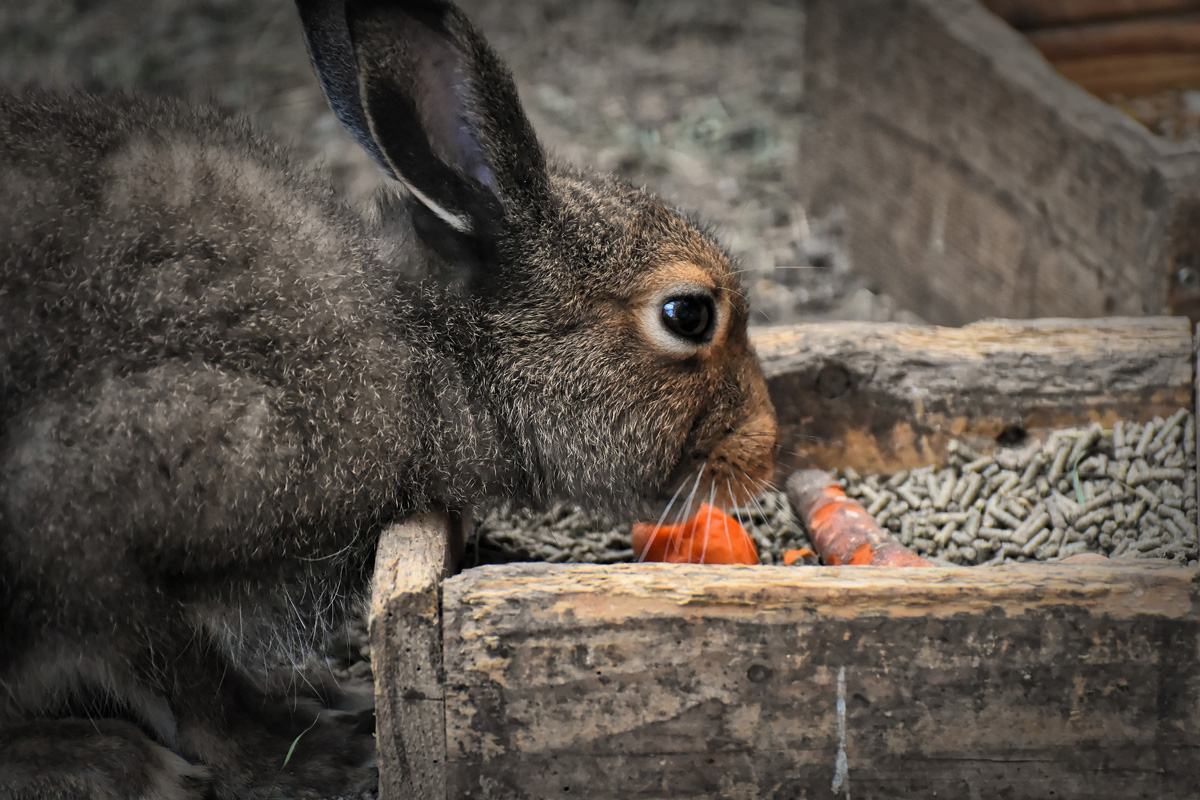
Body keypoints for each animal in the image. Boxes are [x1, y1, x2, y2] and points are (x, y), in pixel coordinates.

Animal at [0, 0, 777, 797]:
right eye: (688, 315)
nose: (767, 446)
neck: (429, 341)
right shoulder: (87, 490)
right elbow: (185, 676)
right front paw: (307, 755)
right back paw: (94, 758)